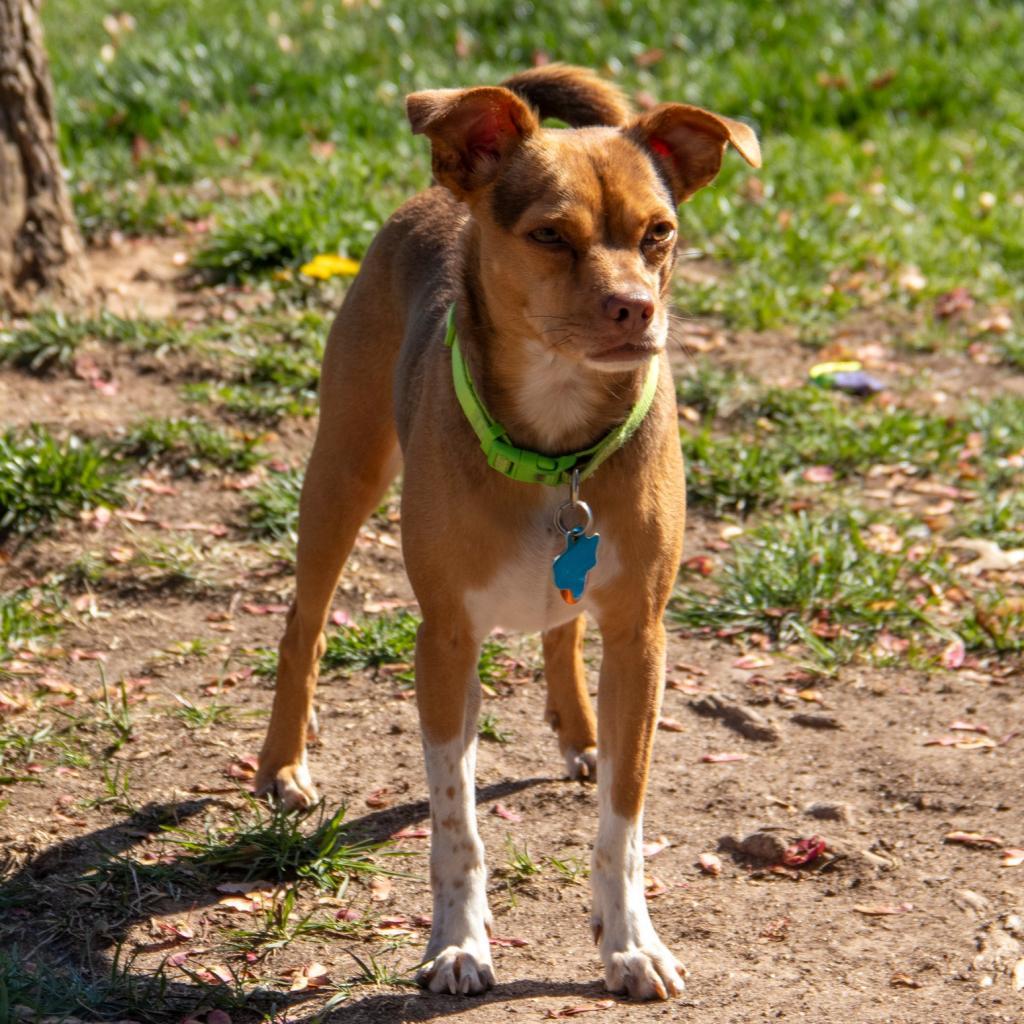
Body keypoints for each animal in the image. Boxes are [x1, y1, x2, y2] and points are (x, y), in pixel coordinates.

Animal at [256, 64, 761, 999]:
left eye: (660, 233)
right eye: (551, 236)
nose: (636, 308)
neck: (556, 440)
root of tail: (439, 191)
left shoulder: (640, 635)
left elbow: (622, 825)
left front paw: (629, 940)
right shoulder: (446, 639)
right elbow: (455, 821)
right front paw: (457, 942)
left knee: (563, 632)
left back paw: (581, 732)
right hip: (341, 472)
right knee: (303, 623)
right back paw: (281, 764)